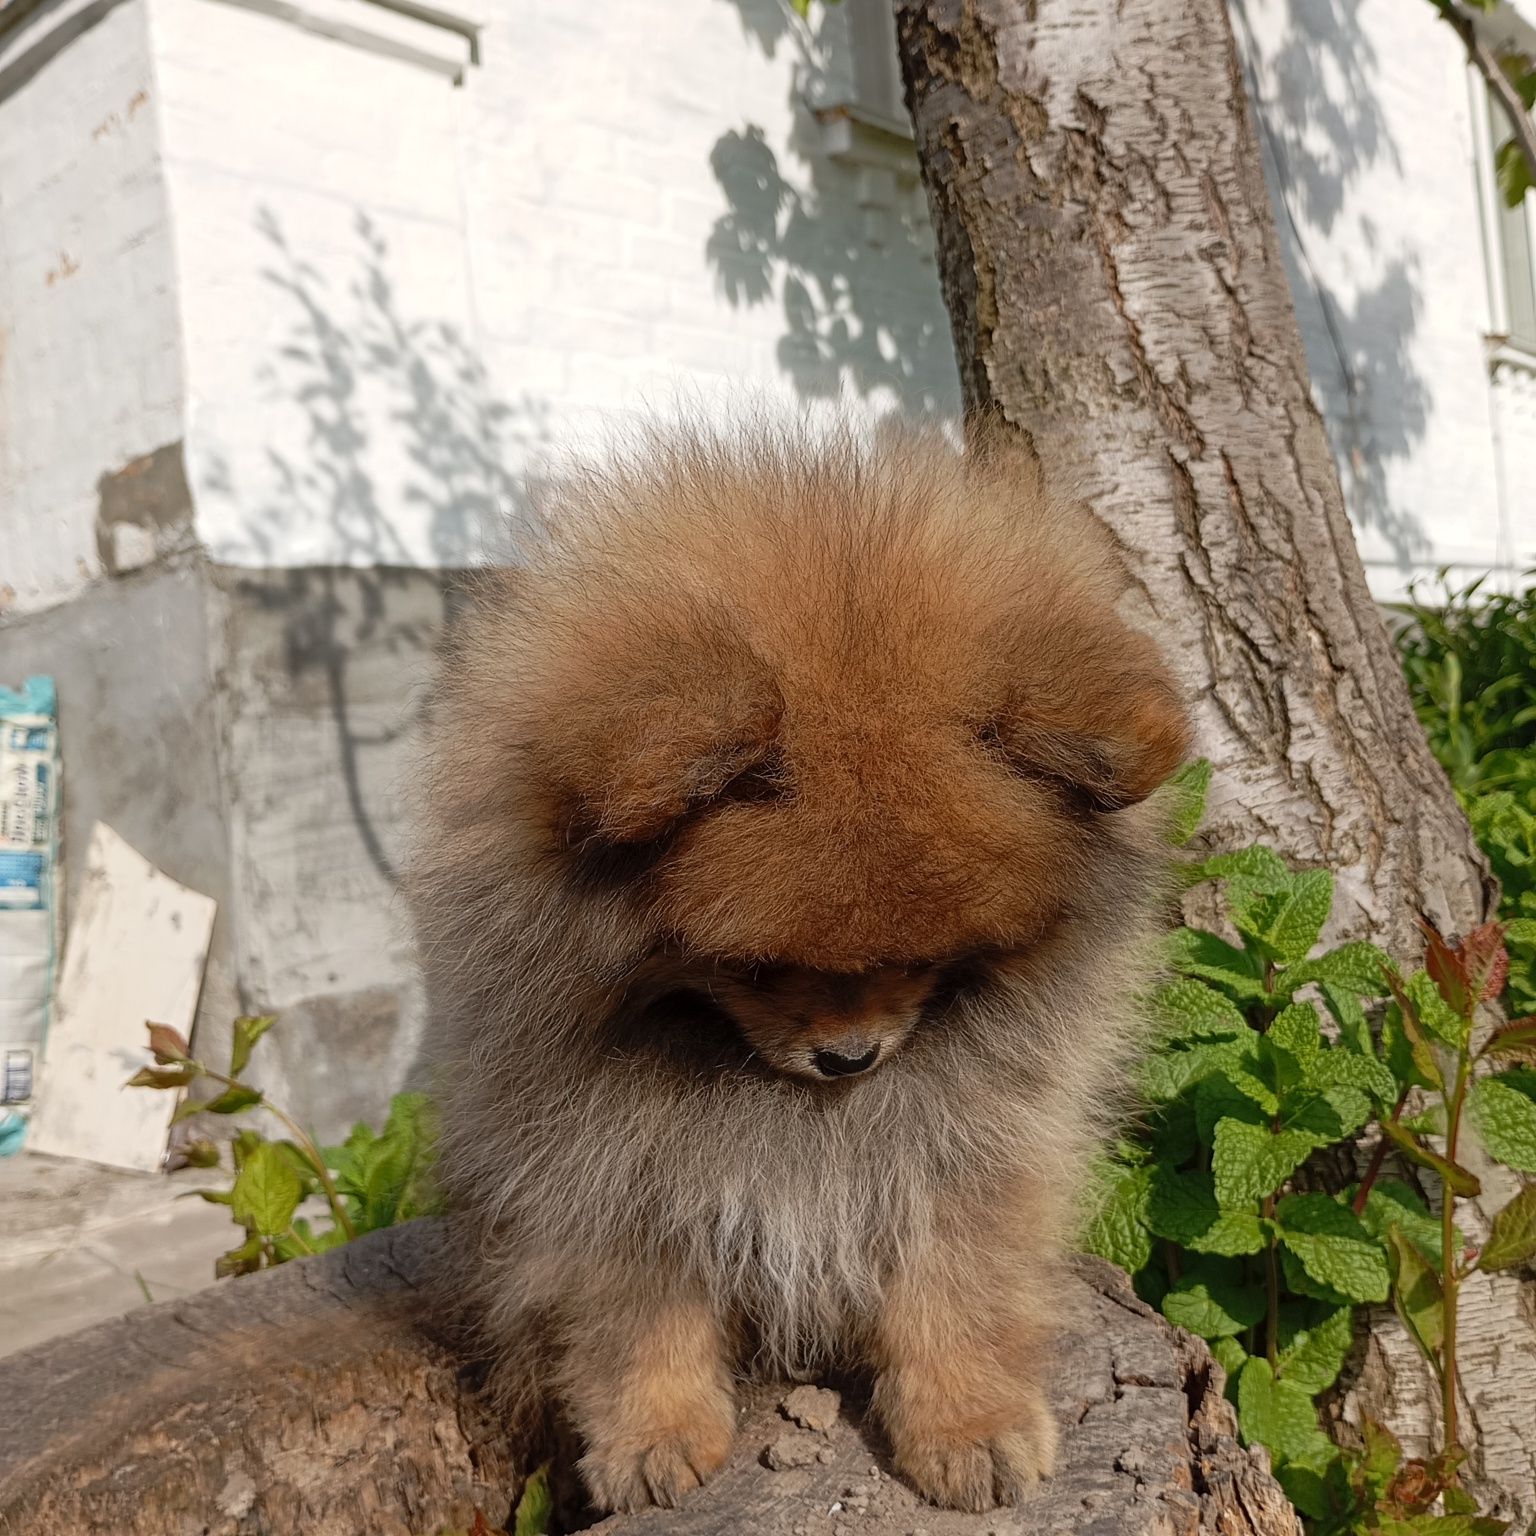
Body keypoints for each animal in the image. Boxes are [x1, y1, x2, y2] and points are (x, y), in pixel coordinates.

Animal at [414, 420, 1191, 1511]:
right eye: (753, 964)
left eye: (928, 959)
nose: (850, 1059)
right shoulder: (609, 1165)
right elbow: (639, 1313)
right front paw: (653, 1435)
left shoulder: (964, 1141)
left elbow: (954, 1283)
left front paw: (968, 1422)